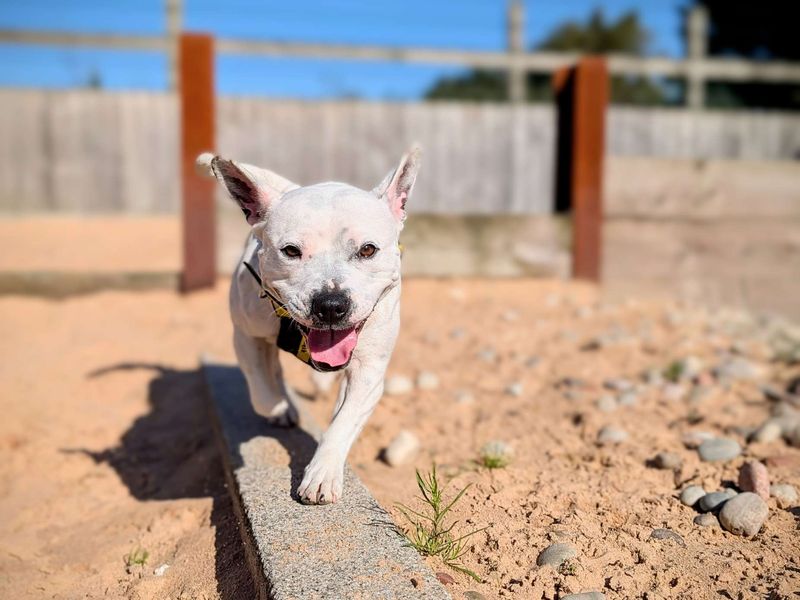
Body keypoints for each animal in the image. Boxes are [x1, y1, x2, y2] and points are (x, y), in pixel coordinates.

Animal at [198, 148, 422, 504]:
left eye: (368, 249)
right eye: (291, 251)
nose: (330, 304)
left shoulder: (368, 371)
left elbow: (342, 422)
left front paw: (322, 473)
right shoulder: (245, 335)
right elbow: (262, 391)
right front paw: (280, 407)